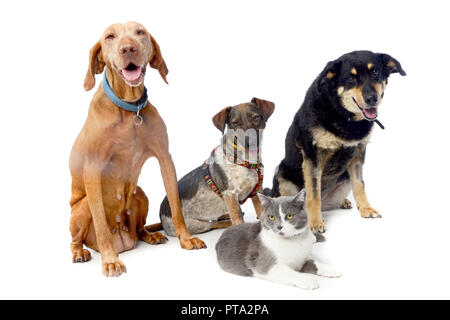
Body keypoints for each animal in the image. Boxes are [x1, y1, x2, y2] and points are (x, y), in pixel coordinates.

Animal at [70, 21, 206, 278]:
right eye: (110, 36)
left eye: (140, 32)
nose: (128, 49)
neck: (129, 109)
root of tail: (123, 239)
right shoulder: (93, 170)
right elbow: (100, 225)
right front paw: (110, 261)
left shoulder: (165, 158)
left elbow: (176, 205)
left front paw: (186, 238)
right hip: (81, 209)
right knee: (77, 238)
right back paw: (80, 252)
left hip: (139, 194)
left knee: (140, 228)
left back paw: (150, 235)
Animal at [160, 97, 276, 235]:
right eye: (235, 123)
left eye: (256, 117)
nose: (250, 142)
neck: (246, 162)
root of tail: (161, 215)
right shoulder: (230, 194)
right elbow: (237, 219)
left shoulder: (256, 192)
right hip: (197, 225)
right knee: (213, 224)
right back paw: (226, 222)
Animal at [214, 190, 342, 290]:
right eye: (271, 217)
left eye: (289, 216)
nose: (279, 226)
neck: (291, 241)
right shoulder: (263, 263)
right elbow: (288, 272)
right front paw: (307, 280)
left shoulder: (302, 258)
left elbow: (315, 262)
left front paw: (331, 269)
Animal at [268, 50, 406, 231]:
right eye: (350, 77)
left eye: (375, 71)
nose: (372, 98)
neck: (343, 114)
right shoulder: (313, 157)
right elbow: (313, 195)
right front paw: (315, 222)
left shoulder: (358, 153)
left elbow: (359, 185)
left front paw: (366, 208)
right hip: (282, 176)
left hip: (344, 177)